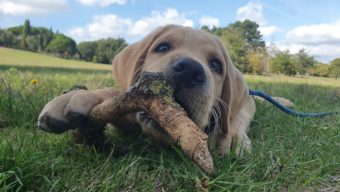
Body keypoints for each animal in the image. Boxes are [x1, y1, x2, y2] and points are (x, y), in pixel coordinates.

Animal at [37, 24, 256, 155]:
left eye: (216, 65)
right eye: (162, 47)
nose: (189, 70)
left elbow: (235, 120)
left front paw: (231, 138)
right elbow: (114, 93)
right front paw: (79, 96)